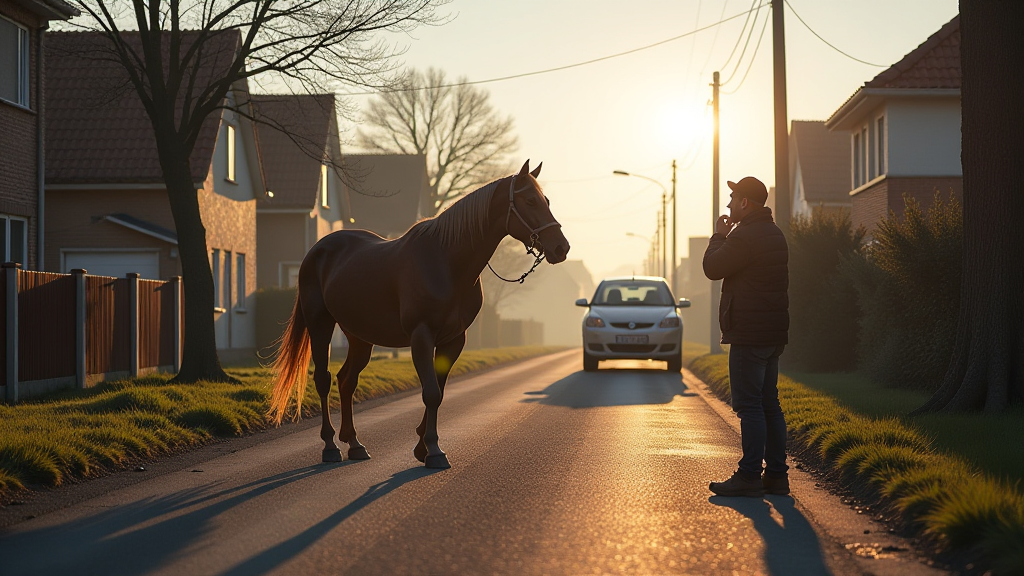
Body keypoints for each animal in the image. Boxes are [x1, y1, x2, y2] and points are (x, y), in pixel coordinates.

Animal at [266, 156, 569, 467]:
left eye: (545, 200)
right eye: (530, 201)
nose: (561, 247)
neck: (446, 262)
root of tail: (317, 250)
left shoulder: (454, 339)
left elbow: (439, 390)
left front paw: (422, 446)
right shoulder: (422, 336)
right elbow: (431, 392)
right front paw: (434, 450)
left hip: (360, 337)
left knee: (347, 381)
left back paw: (355, 444)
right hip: (320, 325)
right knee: (323, 380)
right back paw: (330, 446)